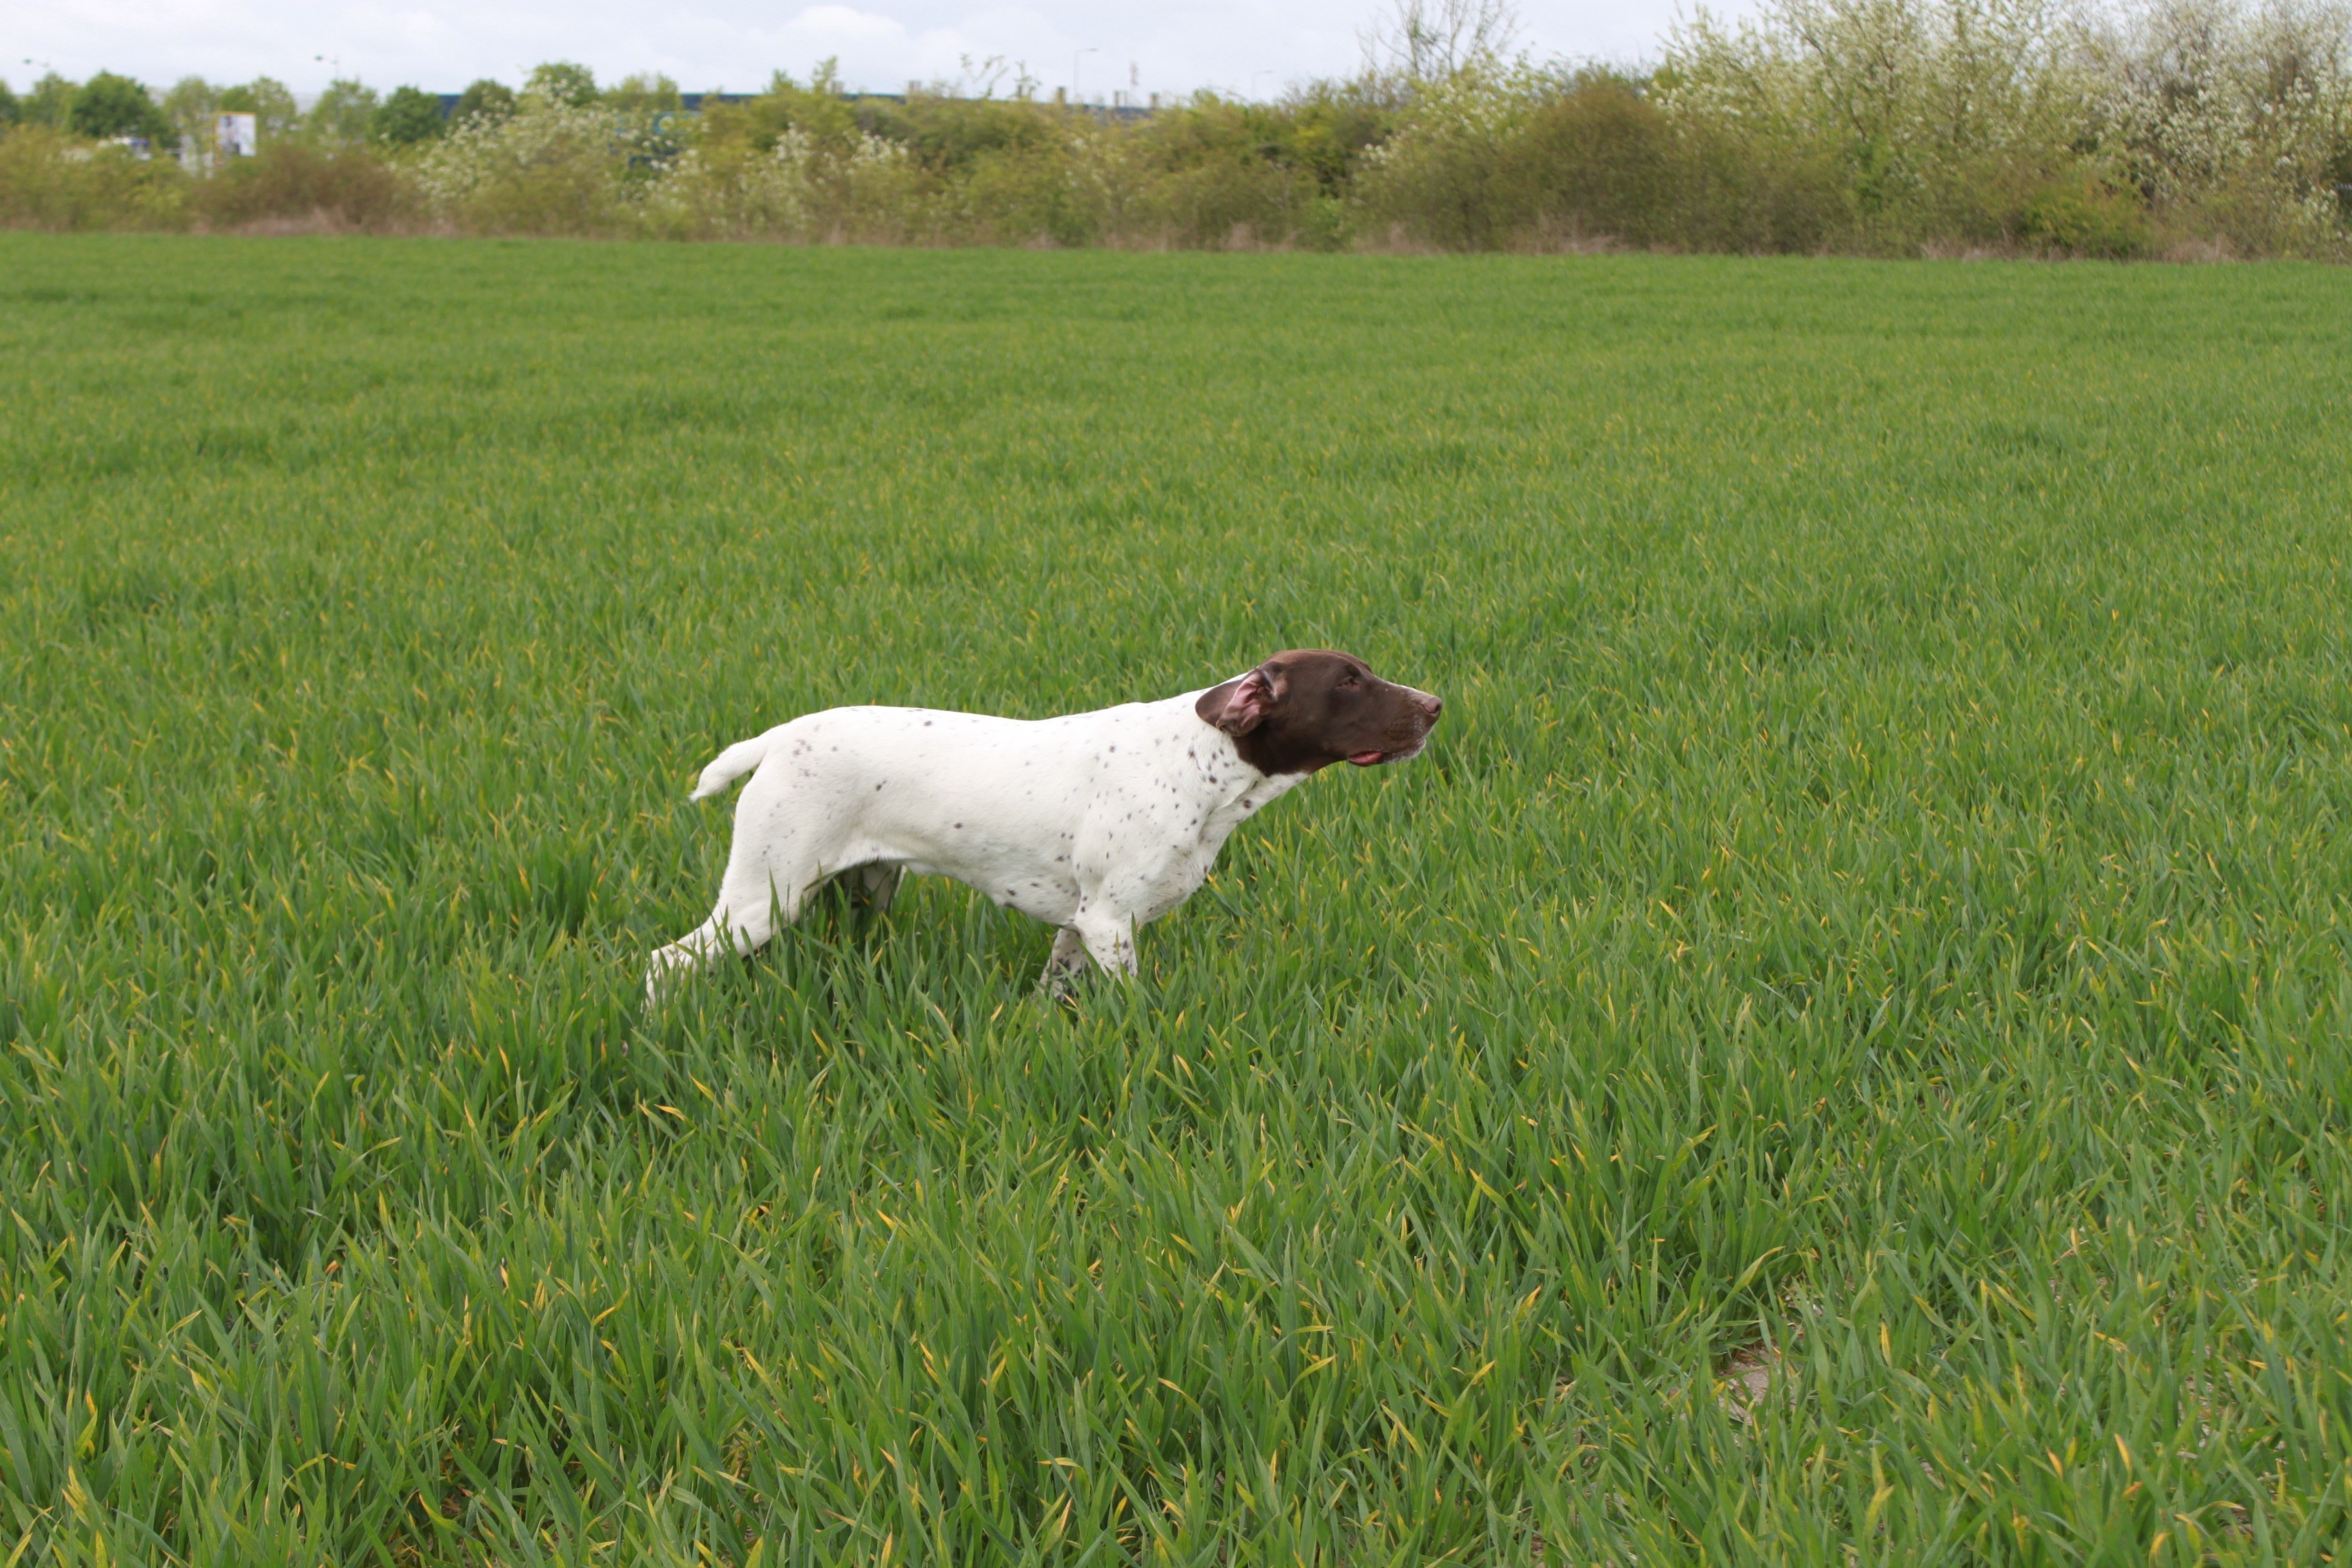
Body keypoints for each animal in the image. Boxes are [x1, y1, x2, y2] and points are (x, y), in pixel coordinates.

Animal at [653, 649, 1439, 992]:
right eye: (1349, 682)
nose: (1435, 704)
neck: (1199, 763)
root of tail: (781, 736)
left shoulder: (1080, 924)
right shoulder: (1111, 924)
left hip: (865, 888)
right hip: (763, 898)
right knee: (665, 961)